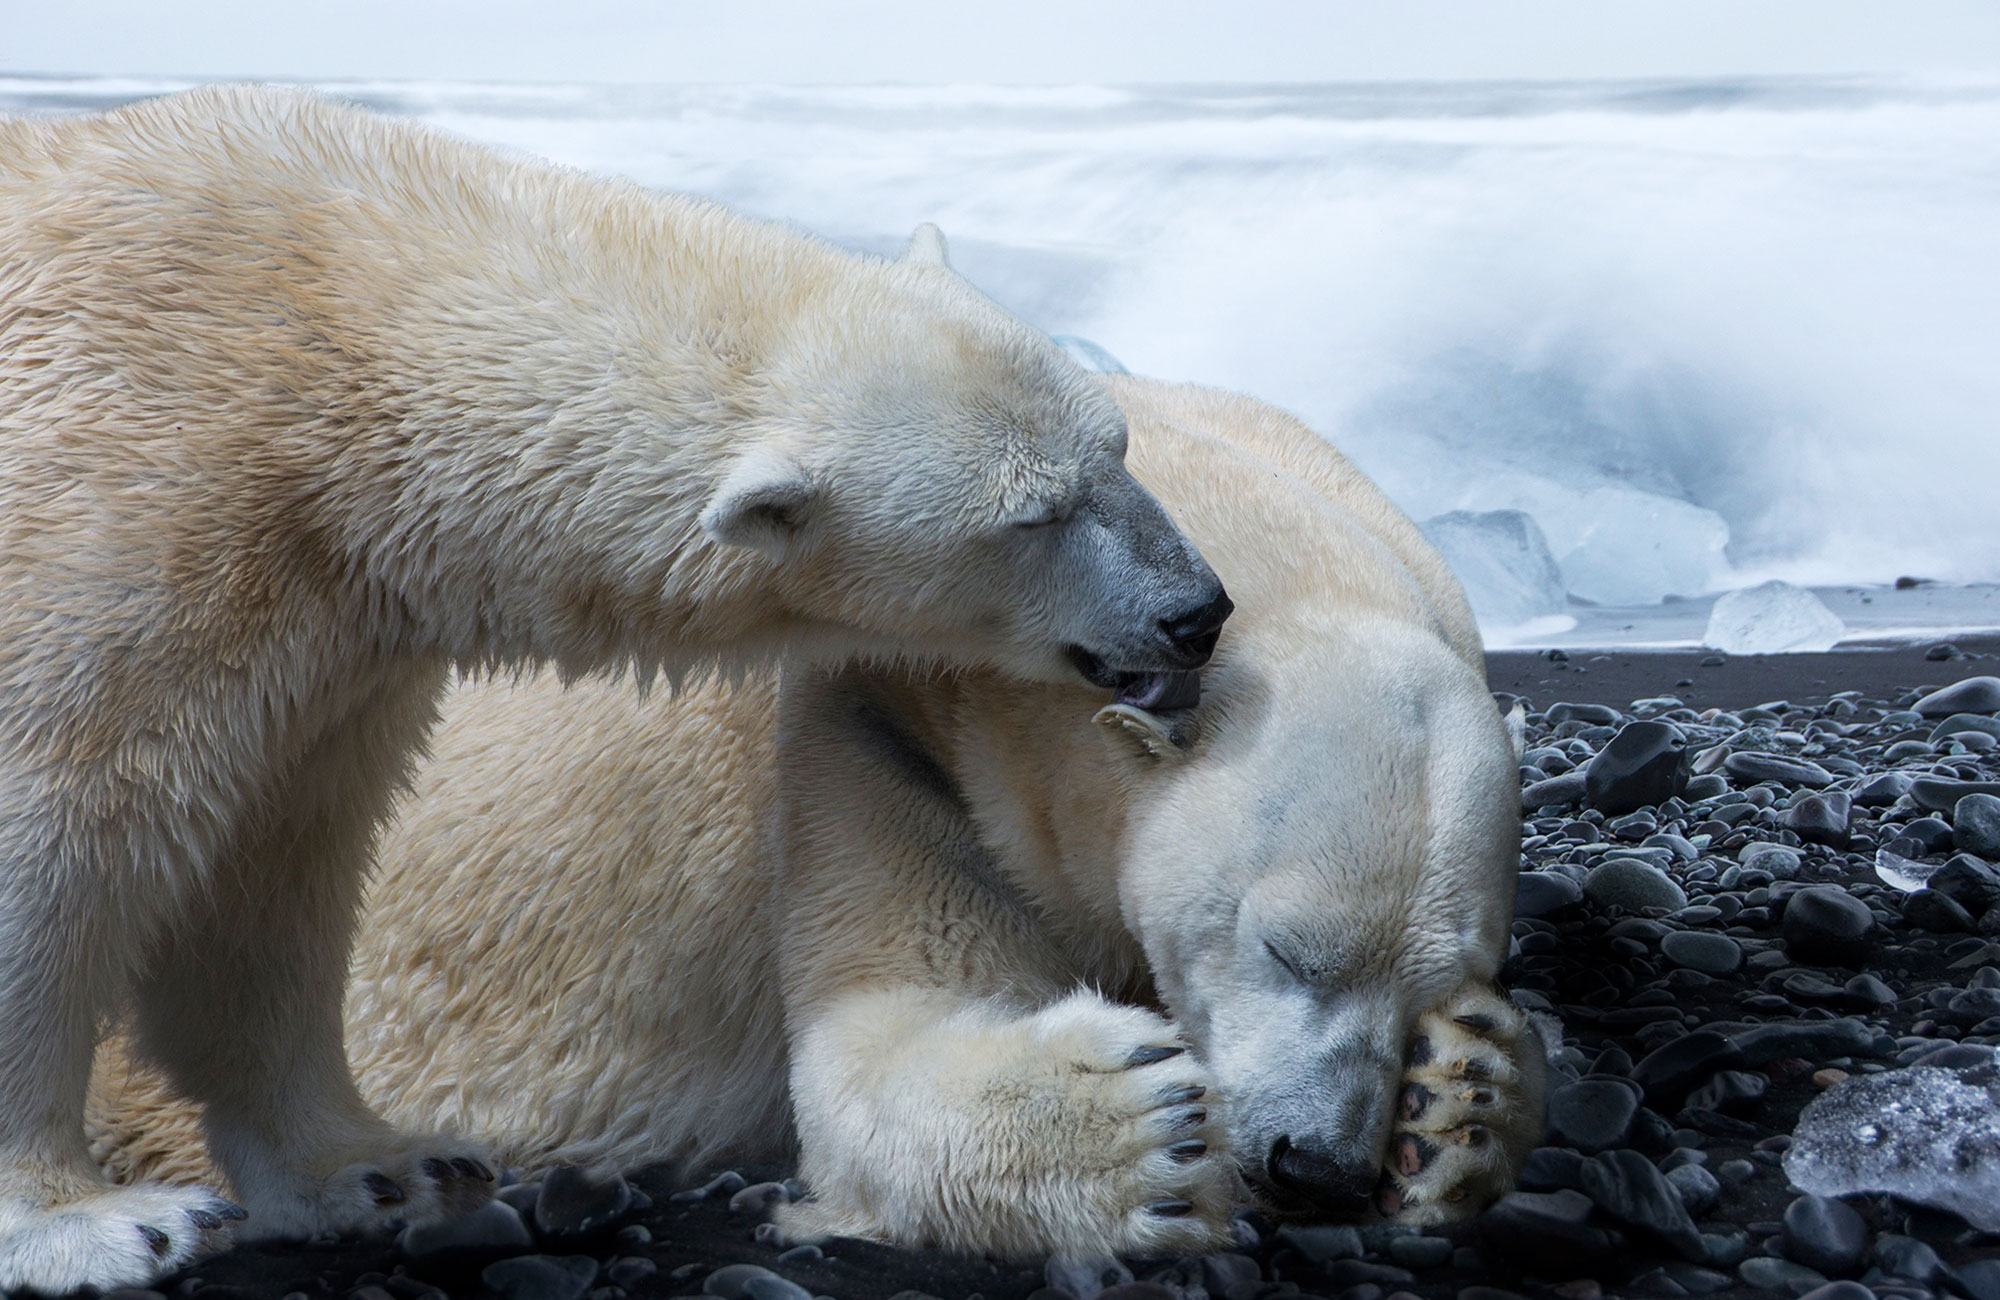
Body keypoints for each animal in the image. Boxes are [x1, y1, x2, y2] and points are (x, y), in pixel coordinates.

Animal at [0, 88, 1224, 1288]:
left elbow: (271, 874)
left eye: (1117, 445)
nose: (1195, 610)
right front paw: (94, 1223)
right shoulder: (128, 513)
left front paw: (380, 1167)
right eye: (1033, 516)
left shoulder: (326, 636)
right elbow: (55, 839)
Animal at [97, 372, 1544, 1256]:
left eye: (1444, 972)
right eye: (1284, 948)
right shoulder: (873, 729)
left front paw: (1461, 1099)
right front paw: (1141, 1125)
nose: (1316, 1163)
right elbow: (882, 1036)